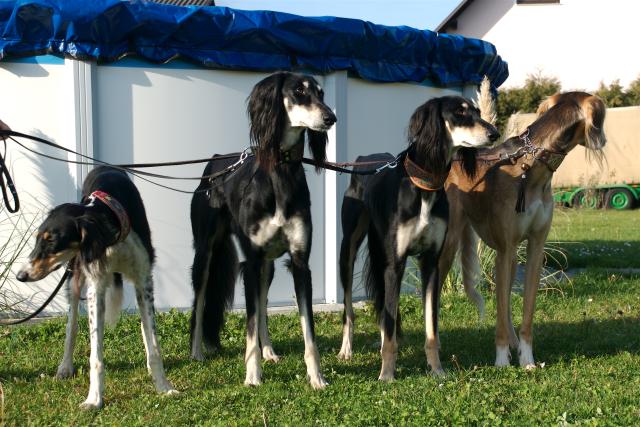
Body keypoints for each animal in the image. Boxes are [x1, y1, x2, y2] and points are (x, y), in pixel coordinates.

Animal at [16, 166, 177, 409]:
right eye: (37, 240)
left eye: (52, 241)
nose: (20, 275)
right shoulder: (96, 288)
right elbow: (95, 356)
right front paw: (94, 398)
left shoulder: (144, 281)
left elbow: (154, 343)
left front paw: (163, 386)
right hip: (74, 278)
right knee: (71, 326)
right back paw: (65, 367)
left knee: (145, 327)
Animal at [189, 71, 336, 389]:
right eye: (299, 92)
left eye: (321, 93)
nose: (330, 118)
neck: (280, 173)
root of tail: (217, 159)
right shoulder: (251, 261)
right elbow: (250, 323)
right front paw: (252, 375)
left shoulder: (299, 262)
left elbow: (307, 329)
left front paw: (316, 377)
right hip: (206, 254)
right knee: (201, 300)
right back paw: (196, 352)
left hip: (266, 266)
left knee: (263, 302)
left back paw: (268, 351)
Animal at [337, 96, 499, 380]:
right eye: (459, 113)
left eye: (478, 111)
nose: (494, 134)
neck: (424, 185)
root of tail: (365, 158)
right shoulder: (396, 263)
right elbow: (389, 319)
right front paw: (387, 374)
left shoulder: (431, 262)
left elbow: (430, 327)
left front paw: (437, 370)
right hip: (349, 251)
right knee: (350, 309)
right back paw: (346, 349)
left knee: (385, 310)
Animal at [439, 91, 606, 369]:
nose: (603, 141)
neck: (530, 166)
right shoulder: (505, 248)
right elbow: (500, 312)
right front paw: (500, 360)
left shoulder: (534, 248)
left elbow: (526, 310)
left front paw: (527, 358)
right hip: (450, 246)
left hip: (505, 255)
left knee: (504, 302)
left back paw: (514, 344)